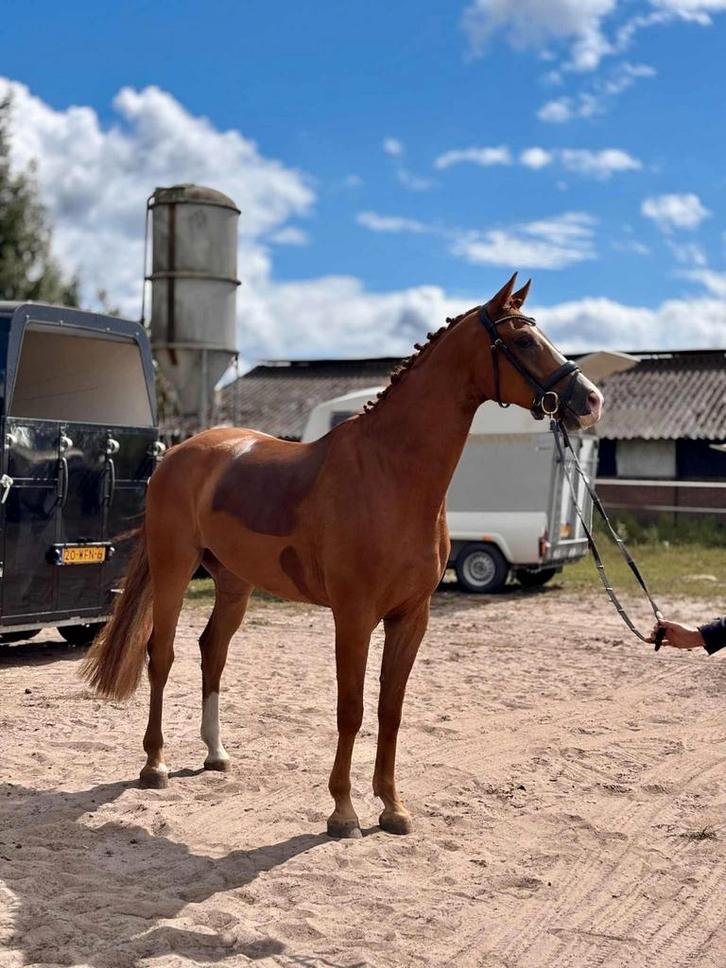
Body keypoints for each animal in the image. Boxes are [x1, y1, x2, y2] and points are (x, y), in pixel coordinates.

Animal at [81, 273, 604, 838]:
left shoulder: (411, 617)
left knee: (212, 651)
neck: (390, 473)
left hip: (234, 583)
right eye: (524, 340)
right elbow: (350, 708)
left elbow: (390, 709)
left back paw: (216, 754)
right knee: (162, 654)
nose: (591, 400)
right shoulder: (354, 616)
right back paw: (154, 765)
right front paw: (343, 812)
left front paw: (393, 808)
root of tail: (176, 454)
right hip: (174, 570)